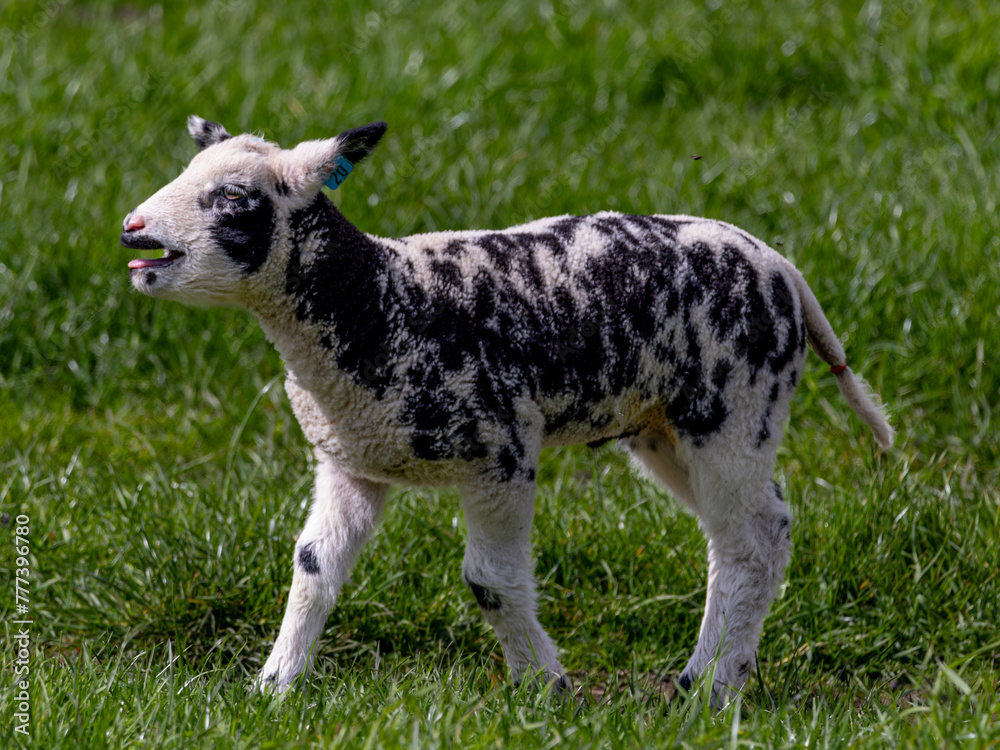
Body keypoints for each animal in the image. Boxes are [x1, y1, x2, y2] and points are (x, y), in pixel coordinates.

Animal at [120, 116, 893, 704]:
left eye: (232, 197)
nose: (132, 228)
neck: (377, 300)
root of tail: (782, 267)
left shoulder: (499, 451)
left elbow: (488, 581)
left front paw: (546, 690)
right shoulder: (350, 459)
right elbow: (313, 567)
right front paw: (274, 688)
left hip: (733, 410)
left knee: (748, 544)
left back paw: (707, 686)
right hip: (665, 426)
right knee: (760, 530)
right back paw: (713, 675)